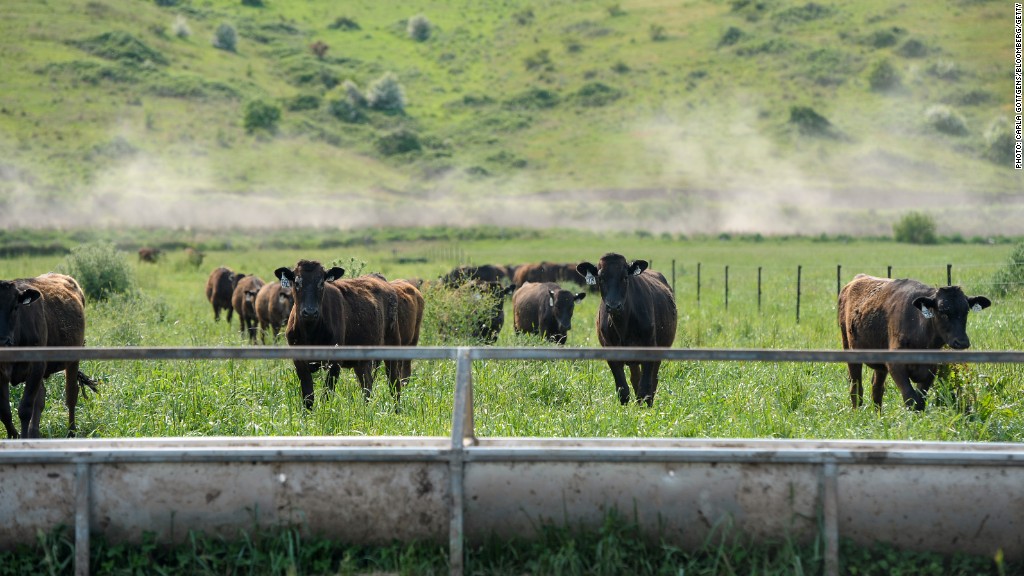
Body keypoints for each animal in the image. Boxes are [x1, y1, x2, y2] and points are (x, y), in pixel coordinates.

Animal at [0, 272, 97, 434]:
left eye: (15, 307)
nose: (3, 341)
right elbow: (5, 412)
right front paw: (14, 436)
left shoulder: (36, 367)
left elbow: (25, 409)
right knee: (40, 398)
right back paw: (34, 433)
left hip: (72, 360)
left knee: (71, 395)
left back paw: (71, 431)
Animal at [581, 253, 675, 405]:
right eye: (600, 278)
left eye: (625, 277)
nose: (613, 306)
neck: (623, 326)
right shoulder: (610, 351)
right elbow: (623, 390)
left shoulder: (649, 349)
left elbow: (646, 387)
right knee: (635, 379)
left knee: (652, 382)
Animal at [835, 272, 987, 407]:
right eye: (943, 312)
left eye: (966, 311)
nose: (961, 342)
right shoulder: (896, 365)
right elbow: (911, 399)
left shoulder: (931, 370)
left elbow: (920, 400)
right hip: (849, 349)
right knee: (856, 388)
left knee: (877, 389)